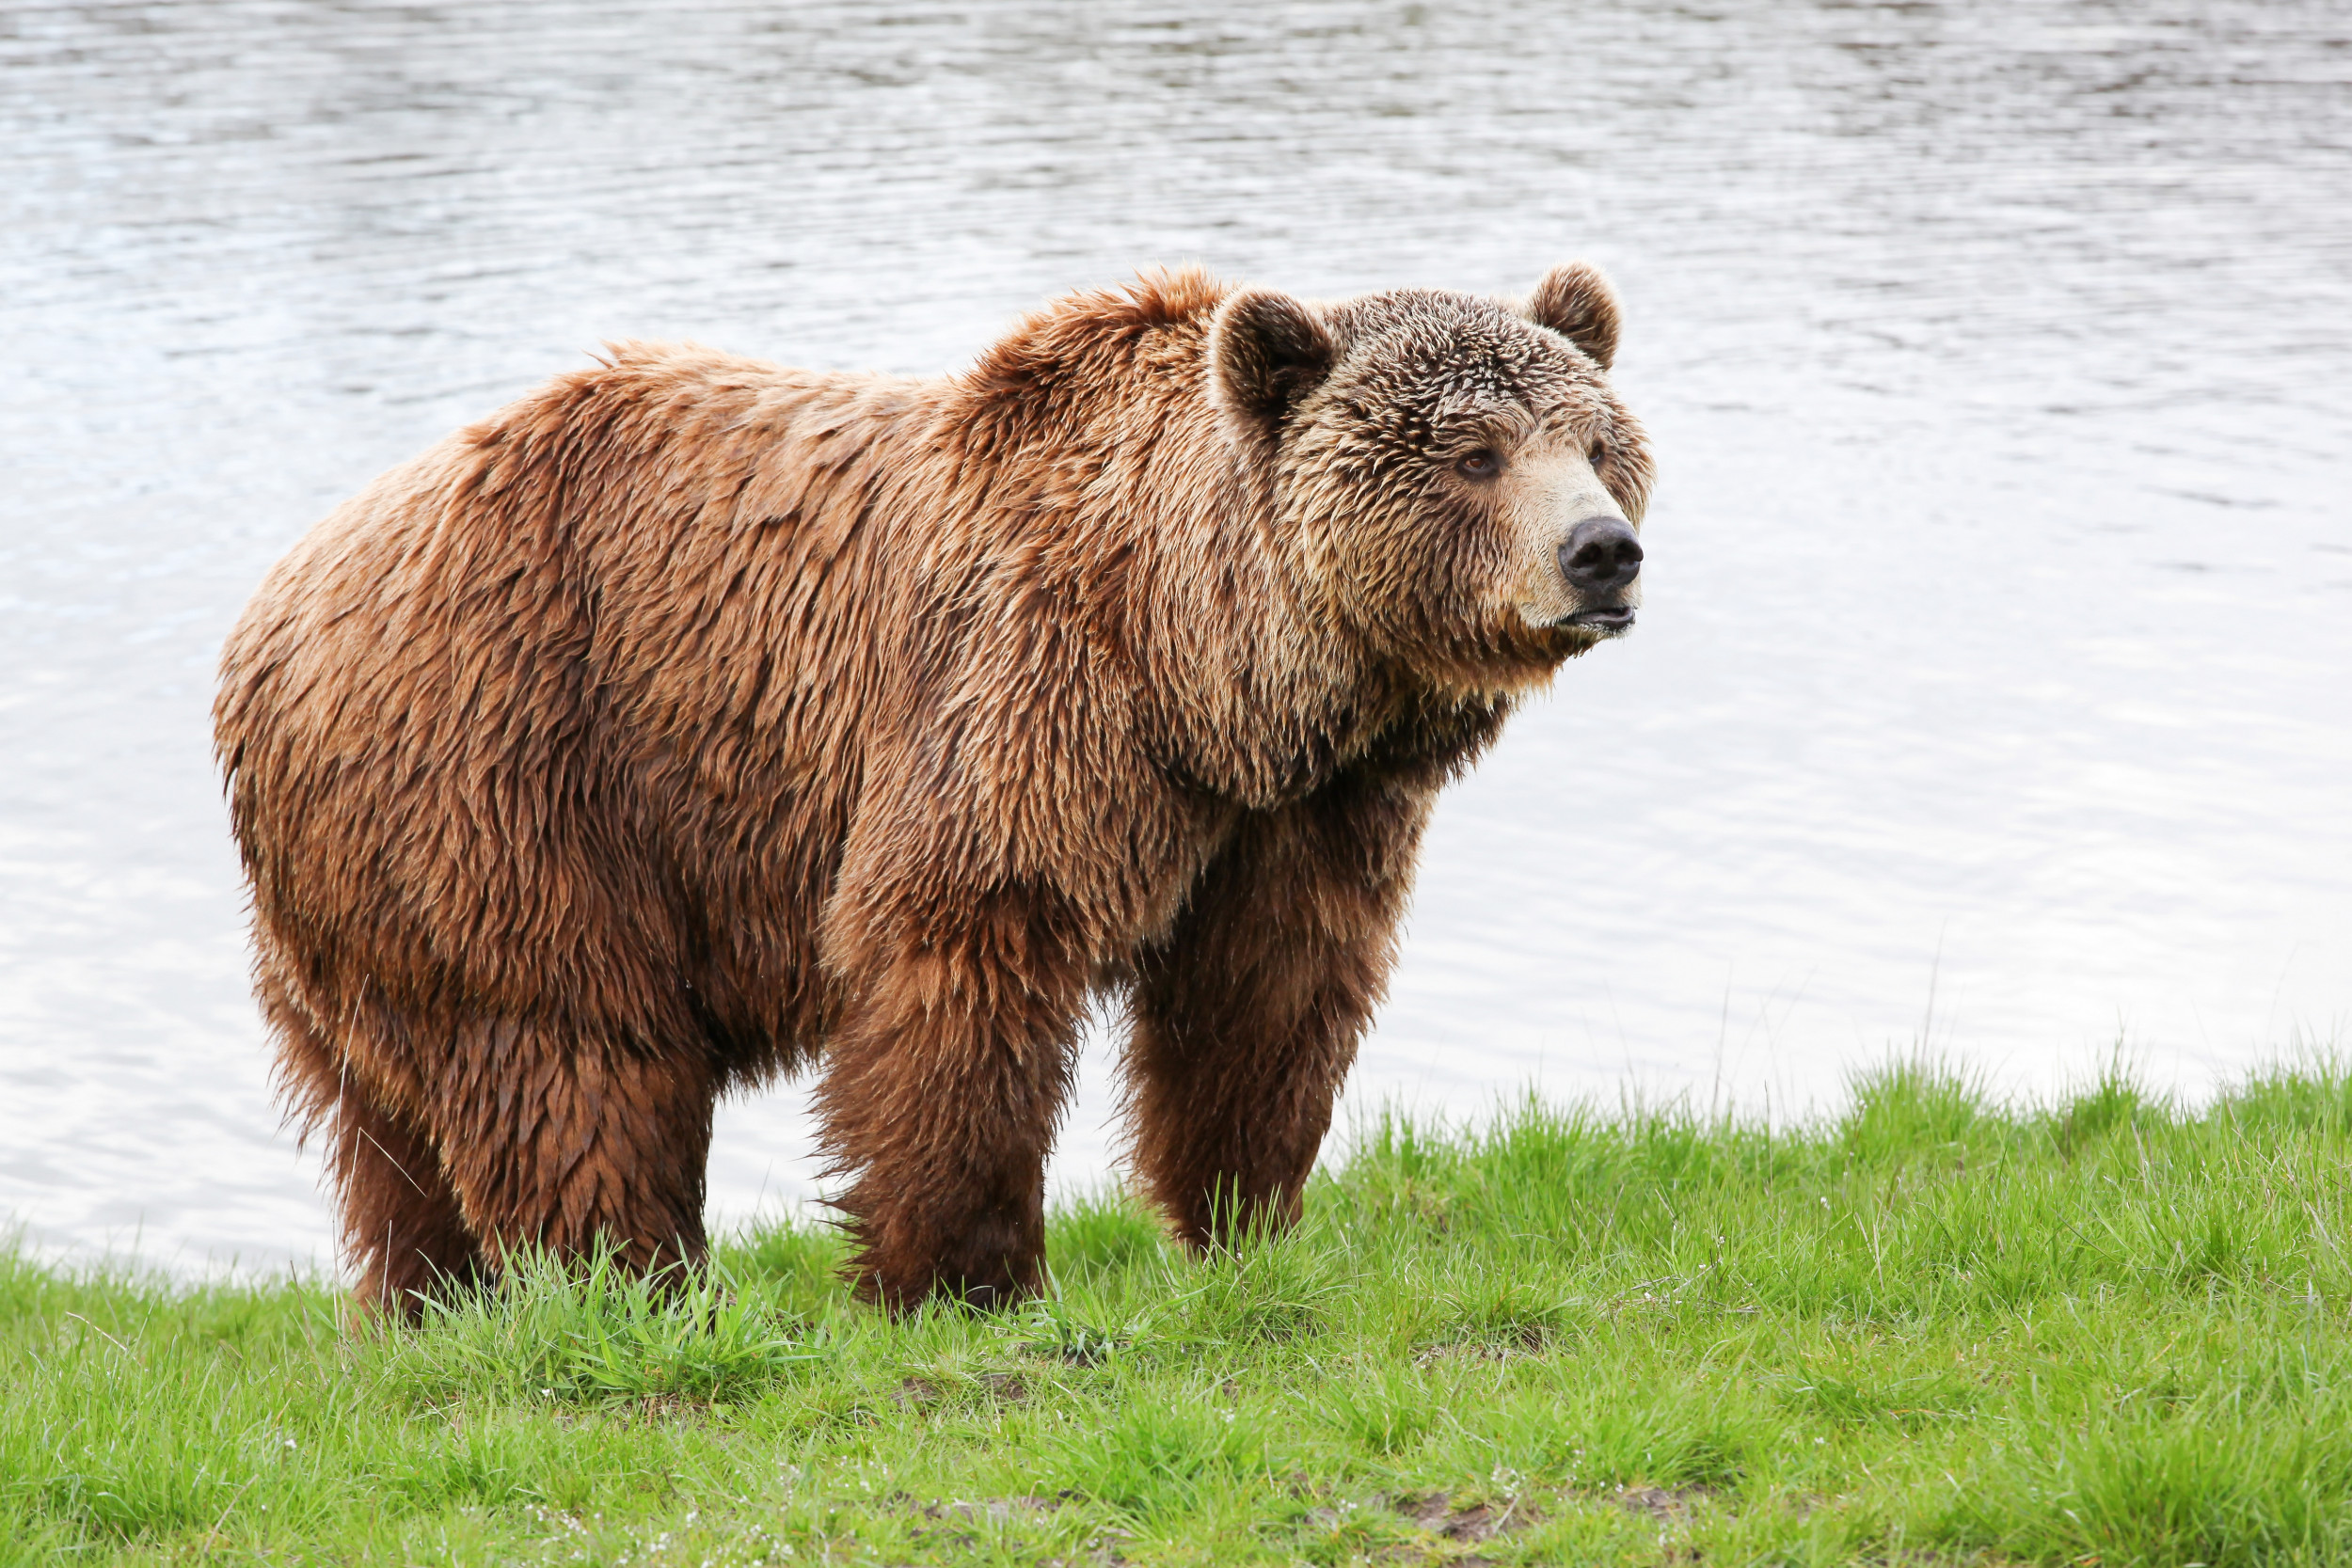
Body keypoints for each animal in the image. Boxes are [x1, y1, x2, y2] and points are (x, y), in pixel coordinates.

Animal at [216, 262, 1656, 1316]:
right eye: (1472, 452)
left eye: (1595, 439)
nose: (1603, 550)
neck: (1207, 666)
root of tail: (271, 612)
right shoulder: (1026, 690)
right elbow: (965, 947)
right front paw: (963, 1275)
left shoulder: (1298, 812)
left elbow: (1268, 997)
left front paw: (1247, 1219)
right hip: (503, 773)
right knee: (569, 1054)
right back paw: (639, 1286)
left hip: (357, 893)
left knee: (393, 1132)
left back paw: (428, 1304)